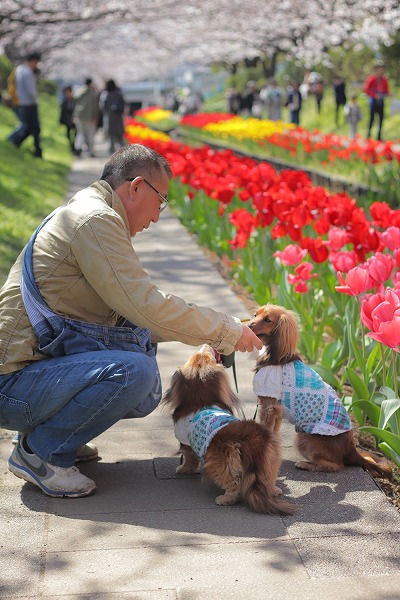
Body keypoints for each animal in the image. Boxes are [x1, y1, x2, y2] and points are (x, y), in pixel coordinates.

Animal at [162, 346, 296, 516]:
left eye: (206, 356)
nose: (207, 346)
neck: (200, 400)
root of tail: (253, 441)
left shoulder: (186, 443)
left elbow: (189, 458)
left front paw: (183, 469)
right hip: (271, 458)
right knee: (268, 478)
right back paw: (274, 489)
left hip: (219, 461)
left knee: (234, 483)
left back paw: (225, 499)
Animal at [248, 304, 392, 478]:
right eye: (255, 315)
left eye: (268, 320)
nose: (248, 325)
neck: (275, 355)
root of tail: (352, 449)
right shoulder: (276, 410)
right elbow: (274, 434)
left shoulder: (269, 406)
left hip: (304, 438)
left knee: (336, 465)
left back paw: (306, 464)